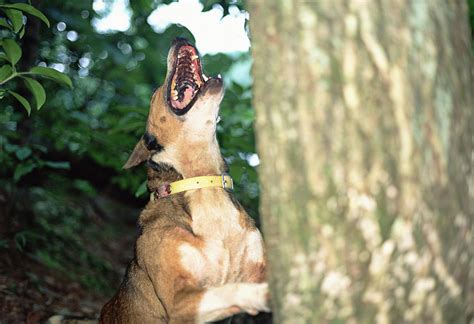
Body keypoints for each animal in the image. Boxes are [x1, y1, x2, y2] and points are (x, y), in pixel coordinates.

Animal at [99, 38, 270, 324]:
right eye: (154, 92)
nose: (179, 37)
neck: (202, 181)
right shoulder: (180, 303)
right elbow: (230, 290)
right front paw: (264, 294)